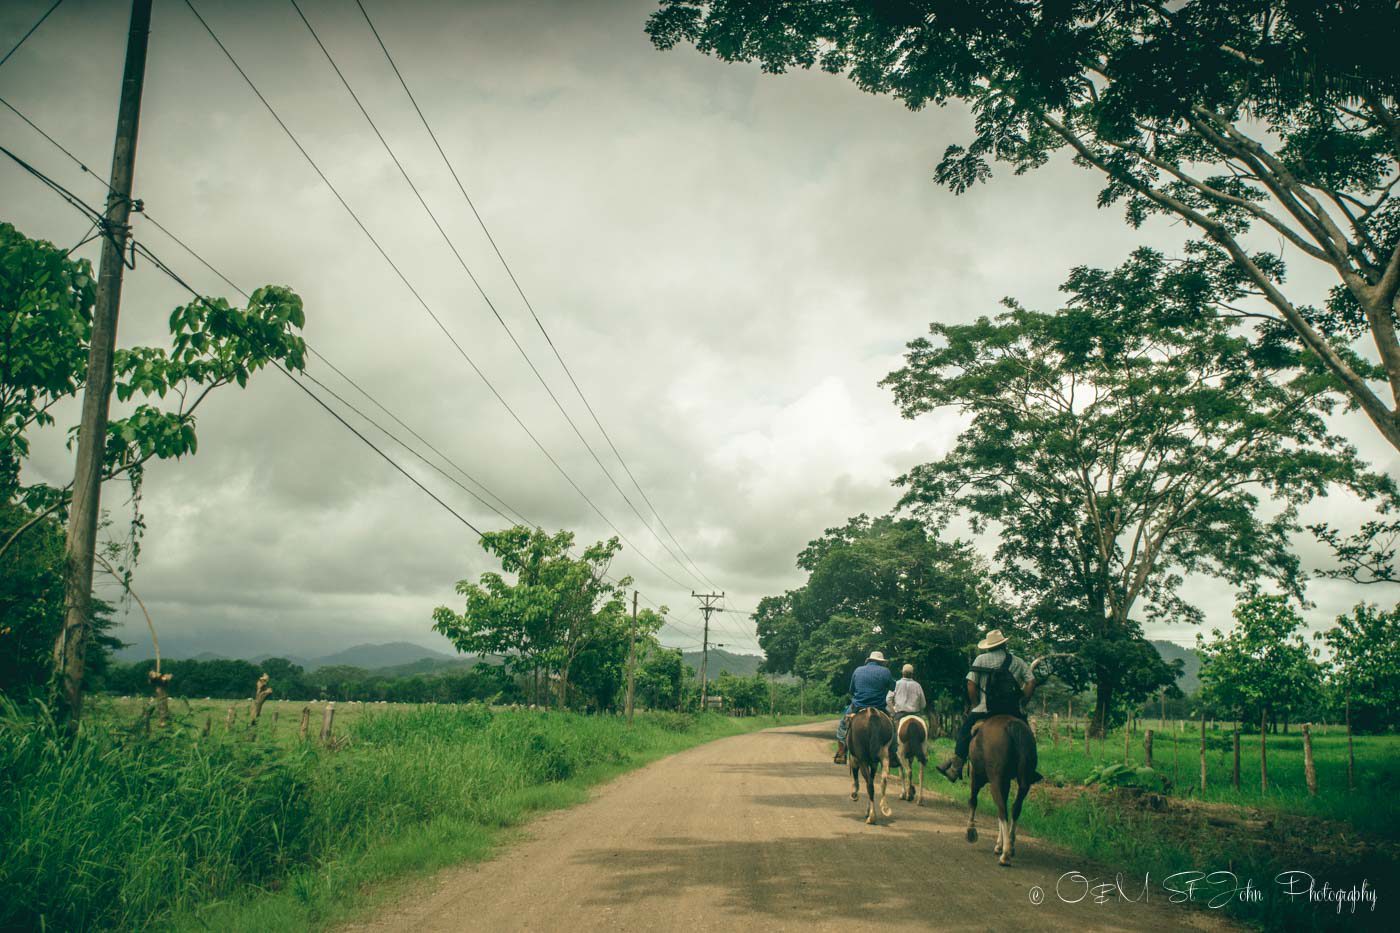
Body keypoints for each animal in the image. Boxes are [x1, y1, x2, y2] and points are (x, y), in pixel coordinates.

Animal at [968, 711, 1036, 862]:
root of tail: (1013, 726)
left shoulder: (976, 775)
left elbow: (973, 801)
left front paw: (970, 831)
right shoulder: (1006, 782)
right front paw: (1000, 844)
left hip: (994, 781)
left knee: (1002, 810)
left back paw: (1005, 854)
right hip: (1024, 784)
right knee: (1014, 808)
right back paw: (1010, 846)